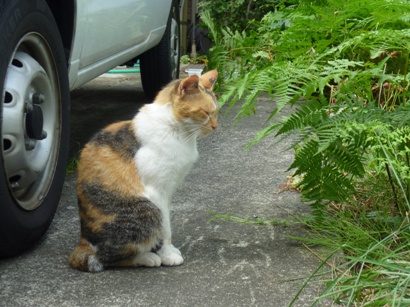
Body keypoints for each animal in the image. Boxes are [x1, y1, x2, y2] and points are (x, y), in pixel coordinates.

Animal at [69, 70, 218, 272]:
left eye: (216, 112)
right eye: (205, 113)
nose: (216, 126)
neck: (178, 132)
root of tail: (82, 242)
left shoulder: (168, 191)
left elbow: (167, 225)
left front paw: (168, 250)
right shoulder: (157, 191)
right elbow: (165, 229)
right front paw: (167, 255)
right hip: (147, 210)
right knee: (106, 258)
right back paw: (146, 257)